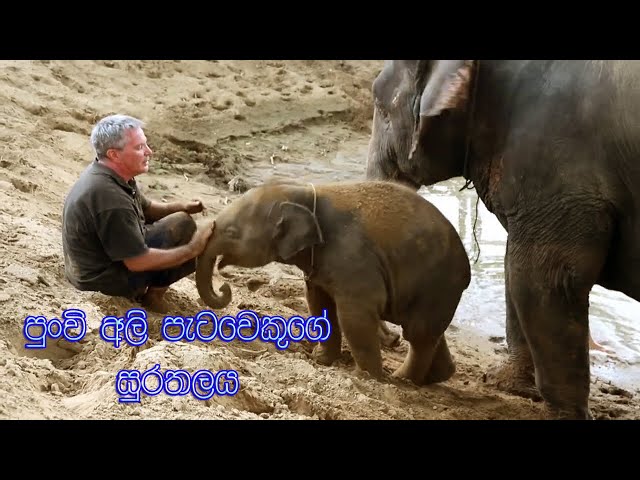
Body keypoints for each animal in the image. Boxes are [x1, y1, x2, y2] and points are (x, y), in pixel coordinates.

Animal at [195, 179, 471, 385]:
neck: (305, 194)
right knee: (428, 332)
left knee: (418, 334)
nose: (224, 287)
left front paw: (366, 378)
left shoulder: (353, 259)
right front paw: (321, 360)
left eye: (232, 233)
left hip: (439, 286)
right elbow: (319, 304)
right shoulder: (319, 267)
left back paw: (402, 379)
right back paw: (436, 377)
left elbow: (354, 316)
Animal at [365, 60, 640, 419]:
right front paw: (507, 385)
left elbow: (546, 278)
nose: (393, 341)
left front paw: (569, 414)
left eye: (380, 106)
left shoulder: (553, 163)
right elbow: (517, 269)